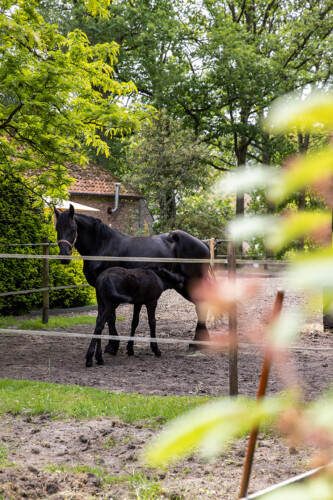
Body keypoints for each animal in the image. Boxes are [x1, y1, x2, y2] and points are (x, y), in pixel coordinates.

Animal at [53, 203, 210, 352]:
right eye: (57, 228)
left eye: (73, 228)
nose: (64, 256)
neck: (103, 246)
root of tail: (204, 244)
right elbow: (106, 317)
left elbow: (111, 317)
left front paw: (112, 346)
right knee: (200, 305)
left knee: (202, 304)